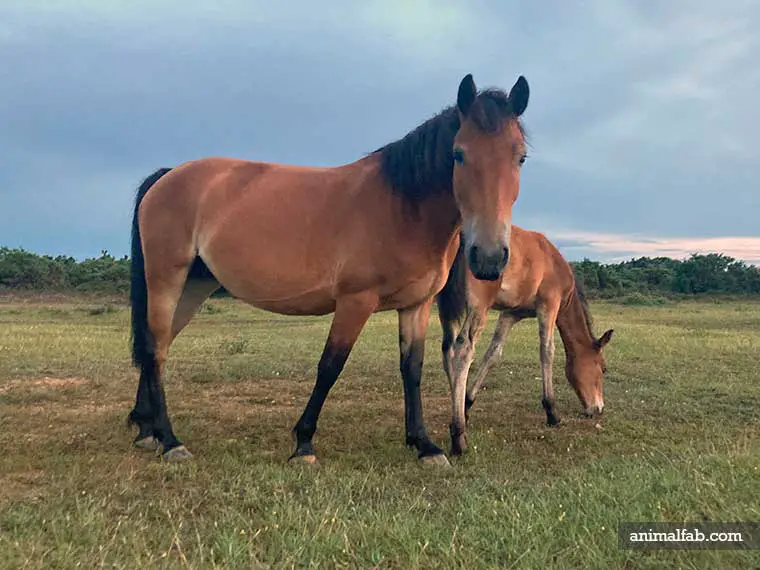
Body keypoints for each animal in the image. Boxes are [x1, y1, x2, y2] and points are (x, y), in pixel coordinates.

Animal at [127, 72, 532, 462]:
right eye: (458, 154)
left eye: (521, 158)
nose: (489, 257)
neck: (402, 206)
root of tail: (167, 176)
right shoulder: (355, 302)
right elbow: (330, 366)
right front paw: (304, 444)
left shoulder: (415, 306)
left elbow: (412, 369)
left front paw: (424, 445)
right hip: (166, 279)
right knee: (156, 347)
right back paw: (170, 440)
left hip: (193, 286)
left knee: (156, 345)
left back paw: (147, 431)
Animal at [440, 225, 612, 452]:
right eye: (603, 368)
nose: (598, 408)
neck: (553, 262)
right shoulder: (549, 304)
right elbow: (547, 351)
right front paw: (552, 412)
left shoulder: (511, 314)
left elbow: (493, 354)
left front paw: (467, 403)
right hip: (478, 307)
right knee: (463, 350)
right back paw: (458, 434)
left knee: (447, 348)